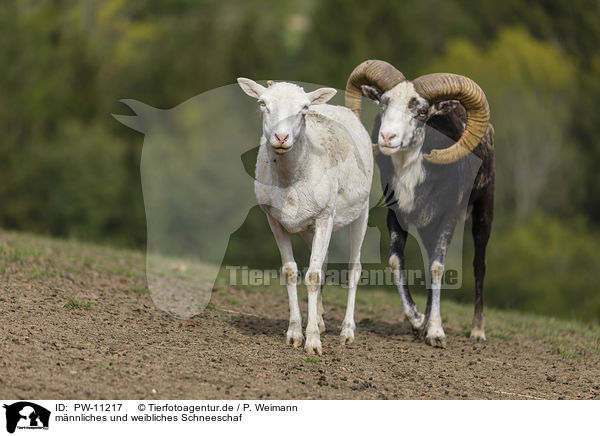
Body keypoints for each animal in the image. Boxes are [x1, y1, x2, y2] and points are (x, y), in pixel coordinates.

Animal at [237, 78, 372, 354]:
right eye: (262, 103)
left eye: (305, 108)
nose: (281, 137)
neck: (290, 184)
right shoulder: (274, 220)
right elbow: (291, 272)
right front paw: (295, 334)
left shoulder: (324, 216)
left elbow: (312, 276)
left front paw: (313, 342)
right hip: (309, 229)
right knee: (325, 261)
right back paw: (319, 320)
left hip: (360, 211)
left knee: (354, 267)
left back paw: (347, 332)